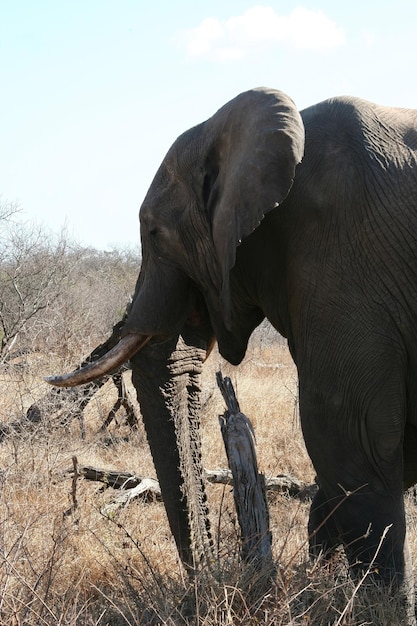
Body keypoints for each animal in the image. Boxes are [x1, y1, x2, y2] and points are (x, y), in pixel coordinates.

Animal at [47, 88, 416, 608]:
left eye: (154, 233)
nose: (208, 580)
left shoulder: (344, 262)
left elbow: (348, 440)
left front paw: (375, 607)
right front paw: (324, 580)